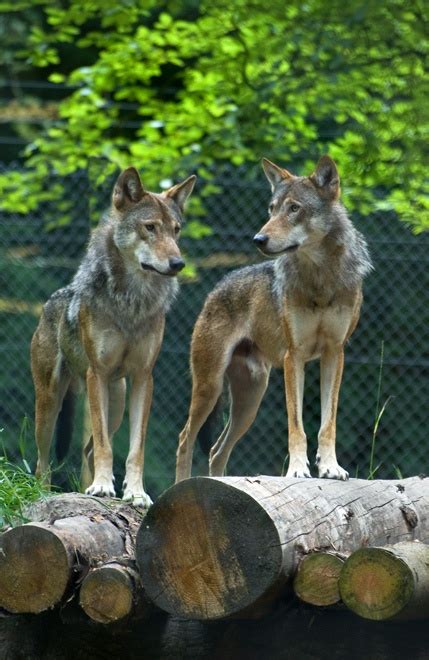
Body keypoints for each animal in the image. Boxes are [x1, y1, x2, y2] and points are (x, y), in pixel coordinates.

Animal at [31, 166, 196, 506]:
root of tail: (51, 300)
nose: (178, 263)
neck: (132, 300)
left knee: (88, 449)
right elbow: (107, 445)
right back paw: (46, 491)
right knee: (44, 459)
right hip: (50, 403)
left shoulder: (144, 377)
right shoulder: (97, 373)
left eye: (176, 230)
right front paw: (103, 487)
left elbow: (135, 449)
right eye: (150, 227)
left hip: (117, 401)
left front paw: (136, 493)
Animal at [176, 157, 370, 482]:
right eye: (272, 208)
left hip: (250, 402)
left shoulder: (334, 353)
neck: (319, 278)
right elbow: (297, 425)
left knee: (216, 451)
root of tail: (217, 287)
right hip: (210, 387)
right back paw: (178, 489)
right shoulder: (295, 357)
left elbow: (327, 423)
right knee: (185, 439)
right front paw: (297, 470)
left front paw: (330, 467)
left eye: (294, 208)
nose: (258, 239)